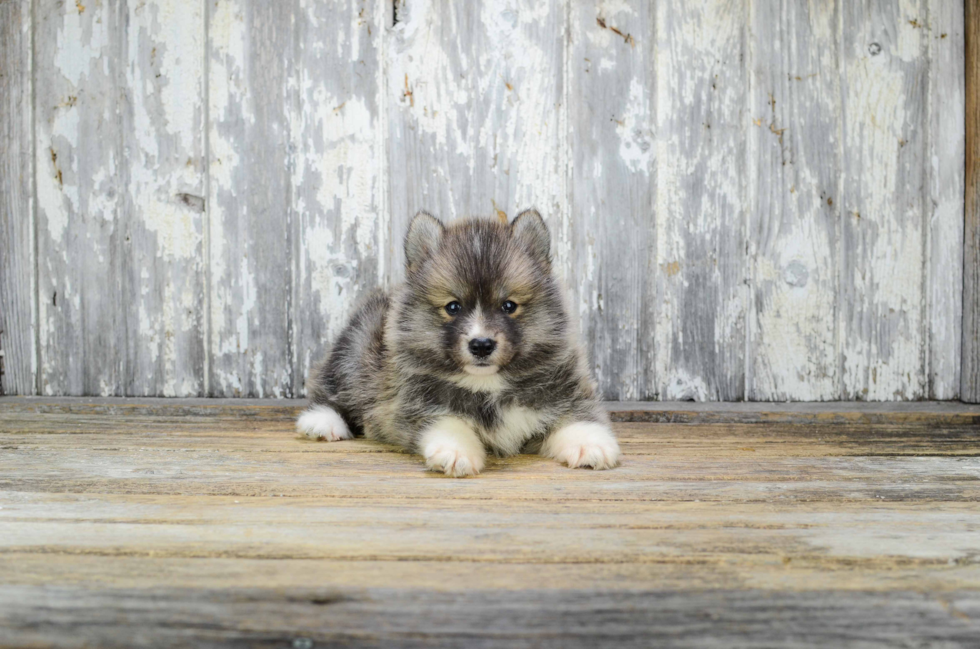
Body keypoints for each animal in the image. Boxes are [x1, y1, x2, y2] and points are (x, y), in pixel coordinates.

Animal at [294, 209, 624, 476]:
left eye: (509, 306)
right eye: (453, 307)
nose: (481, 344)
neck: (487, 385)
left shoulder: (566, 391)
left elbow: (577, 417)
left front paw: (589, 445)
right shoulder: (413, 405)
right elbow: (448, 422)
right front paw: (455, 451)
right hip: (355, 351)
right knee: (329, 387)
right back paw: (322, 422)